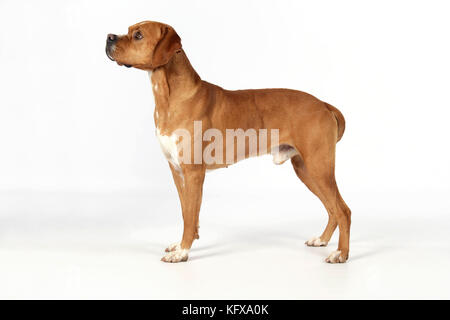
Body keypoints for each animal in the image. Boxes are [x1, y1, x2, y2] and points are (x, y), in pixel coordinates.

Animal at [105, 21, 352, 264]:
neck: (170, 97)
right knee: (332, 209)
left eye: (138, 35)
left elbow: (190, 215)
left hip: (319, 167)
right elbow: (186, 212)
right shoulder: (177, 171)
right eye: (128, 30)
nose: (109, 37)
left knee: (343, 211)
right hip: (305, 170)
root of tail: (323, 104)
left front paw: (183, 252)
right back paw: (322, 240)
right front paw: (182, 244)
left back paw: (341, 253)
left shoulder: (194, 173)